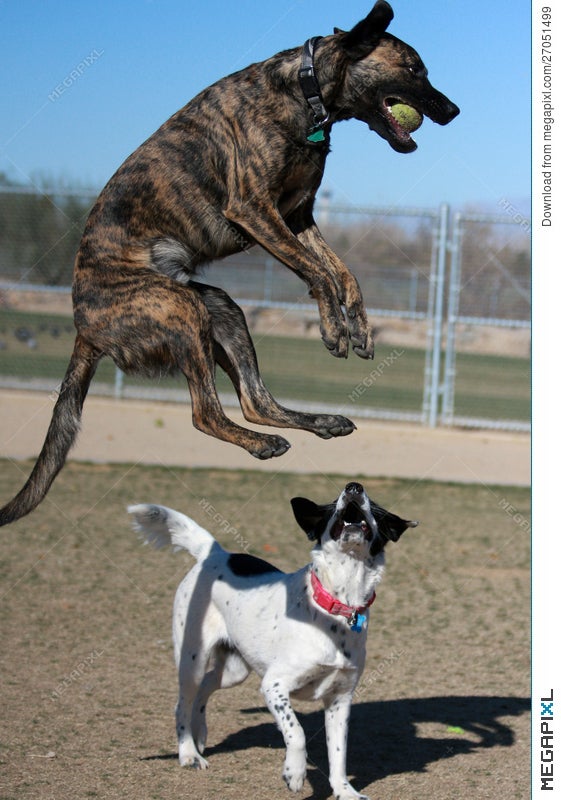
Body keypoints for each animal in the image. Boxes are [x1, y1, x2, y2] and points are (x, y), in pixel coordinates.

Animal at [0, 0, 460, 524]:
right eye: (414, 69)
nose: (453, 111)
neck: (305, 92)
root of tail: (83, 328)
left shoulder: (296, 215)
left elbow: (344, 273)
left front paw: (359, 326)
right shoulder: (255, 209)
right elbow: (319, 272)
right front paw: (333, 328)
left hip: (220, 310)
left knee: (255, 401)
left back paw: (318, 422)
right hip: (181, 310)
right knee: (205, 413)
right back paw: (259, 444)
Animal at [128, 482, 416, 800]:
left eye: (374, 506)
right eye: (333, 503)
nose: (354, 487)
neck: (336, 606)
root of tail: (213, 554)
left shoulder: (340, 699)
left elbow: (339, 753)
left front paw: (344, 791)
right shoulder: (274, 686)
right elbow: (297, 732)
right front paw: (295, 773)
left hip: (234, 670)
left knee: (205, 689)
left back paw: (200, 734)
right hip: (192, 658)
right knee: (182, 703)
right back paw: (189, 753)